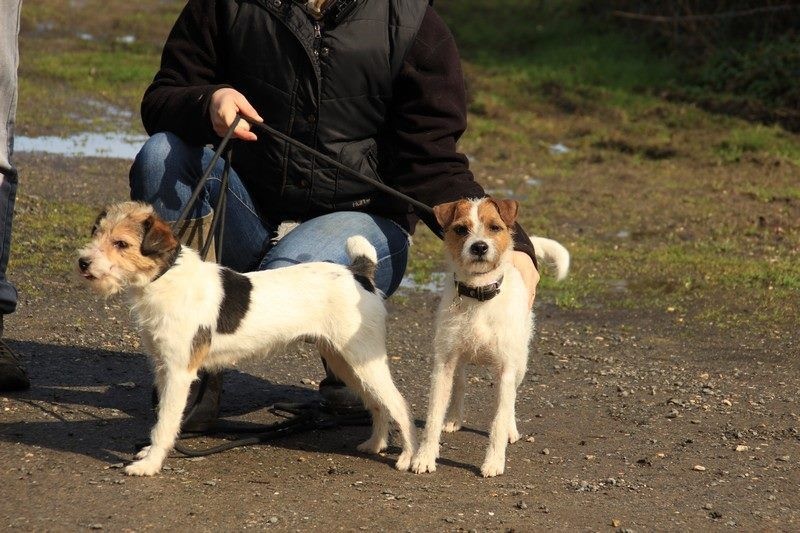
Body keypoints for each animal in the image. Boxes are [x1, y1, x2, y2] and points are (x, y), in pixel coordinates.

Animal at [79, 203, 418, 474]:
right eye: (97, 233)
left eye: (121, 243)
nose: (83, 262)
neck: (166, 277)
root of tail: (357, 273)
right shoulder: (163, 369)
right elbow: (162, 417)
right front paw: (150, 452)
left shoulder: (178, 373)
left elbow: (165, 423)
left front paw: (149, 465)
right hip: (346, 363)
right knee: (377, 404)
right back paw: (375, 443)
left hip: (363, 361)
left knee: (399, 404)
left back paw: (409, 458)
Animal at [412, 196, 568, 478]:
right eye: (461, 229)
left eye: (495, 227)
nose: (480, 247)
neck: (479, 295)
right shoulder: (443, 365)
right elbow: (432, 417)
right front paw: (424, 458)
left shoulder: (506, 369)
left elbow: (498, 420)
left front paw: (494, 462)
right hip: (458, 364)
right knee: (460, 386)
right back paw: (453, 419)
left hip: (519, 363)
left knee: (512, 399)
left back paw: (511, 430)